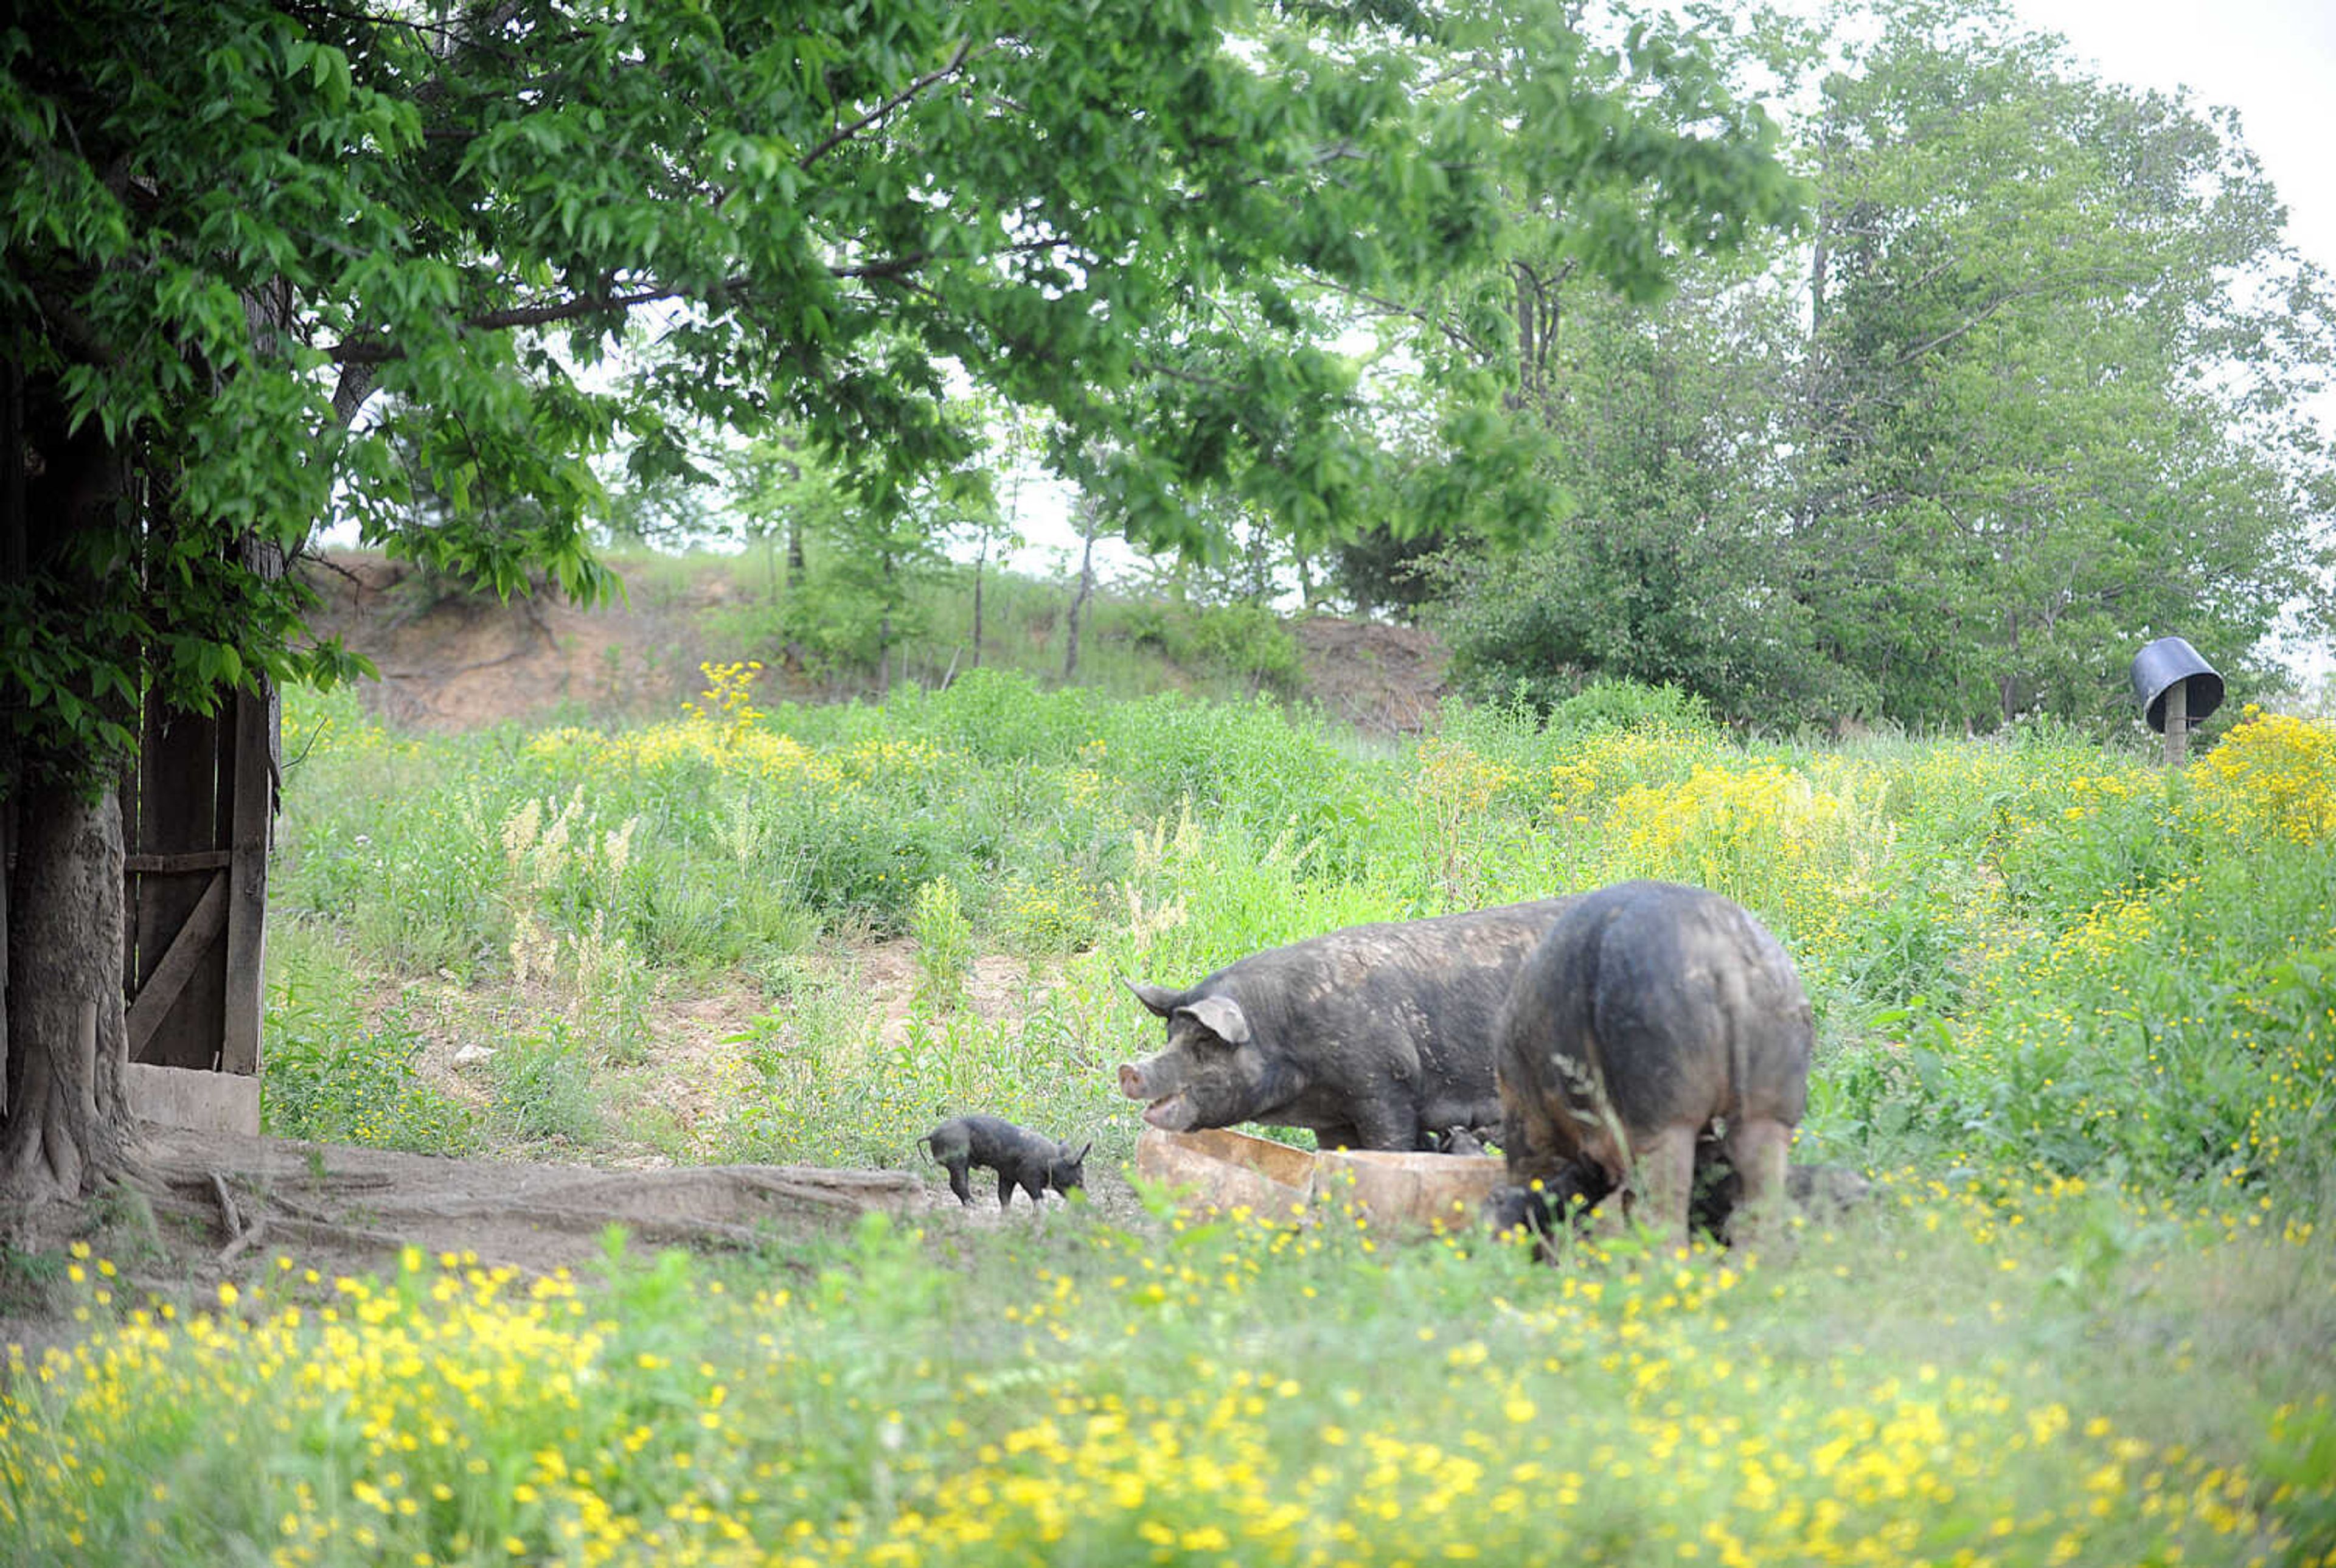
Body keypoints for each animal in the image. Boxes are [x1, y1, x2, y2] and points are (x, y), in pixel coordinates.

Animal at [1111, 897, 1569, 1154]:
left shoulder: (1384, 1089)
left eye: (1205, 1043)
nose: (1130, 1070)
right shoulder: (1332, 1120)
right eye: (1171, 1036)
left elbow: (1392, 1150)